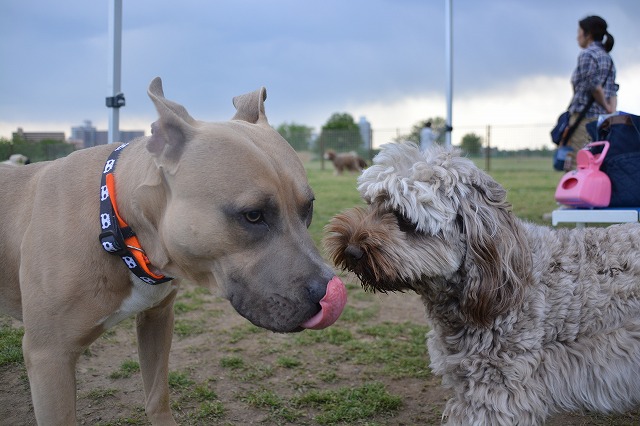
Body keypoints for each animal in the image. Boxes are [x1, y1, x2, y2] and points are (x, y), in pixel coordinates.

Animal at [0, 77, 344, 426]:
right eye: (252, 215)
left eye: (308, 207)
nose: (327, 291)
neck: (115, 223)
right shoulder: (49, 357)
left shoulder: (157, 318)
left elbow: (157, 396)